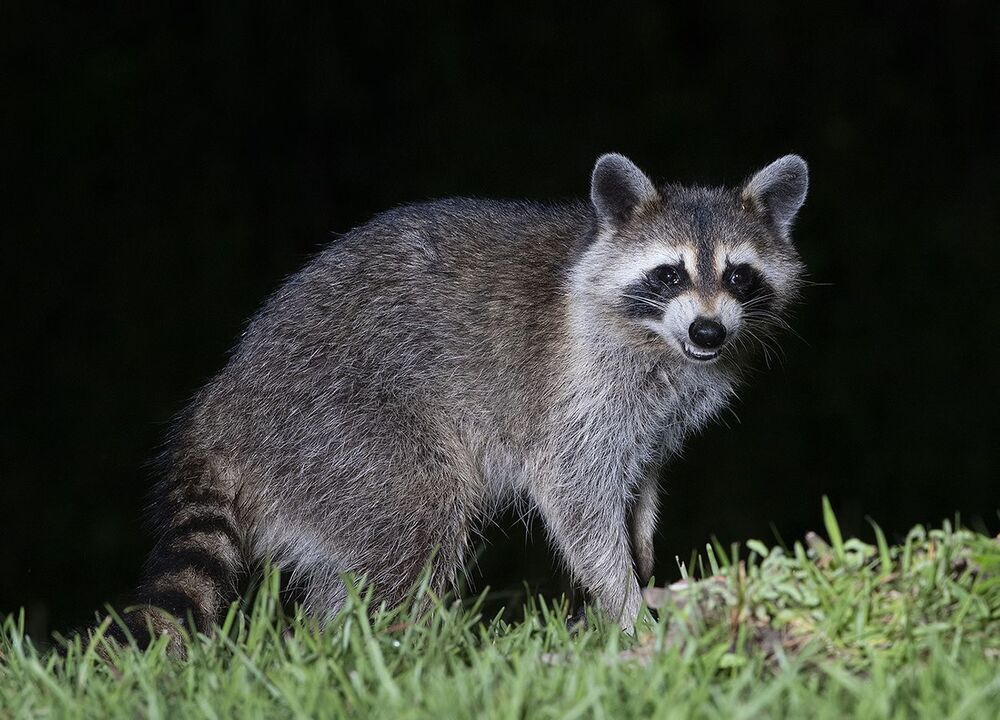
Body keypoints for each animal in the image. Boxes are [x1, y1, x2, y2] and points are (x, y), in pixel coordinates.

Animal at [122, 153, 807, 645]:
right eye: (669, 274)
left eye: (738, 275)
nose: (709, 333)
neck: (662, 343)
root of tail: (222, 404)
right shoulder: (581, 389)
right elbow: (576, 495)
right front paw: (626, 606)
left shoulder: (660, 414)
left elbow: (641, 480)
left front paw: (642, 554)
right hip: (342, 428)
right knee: (417, 521)